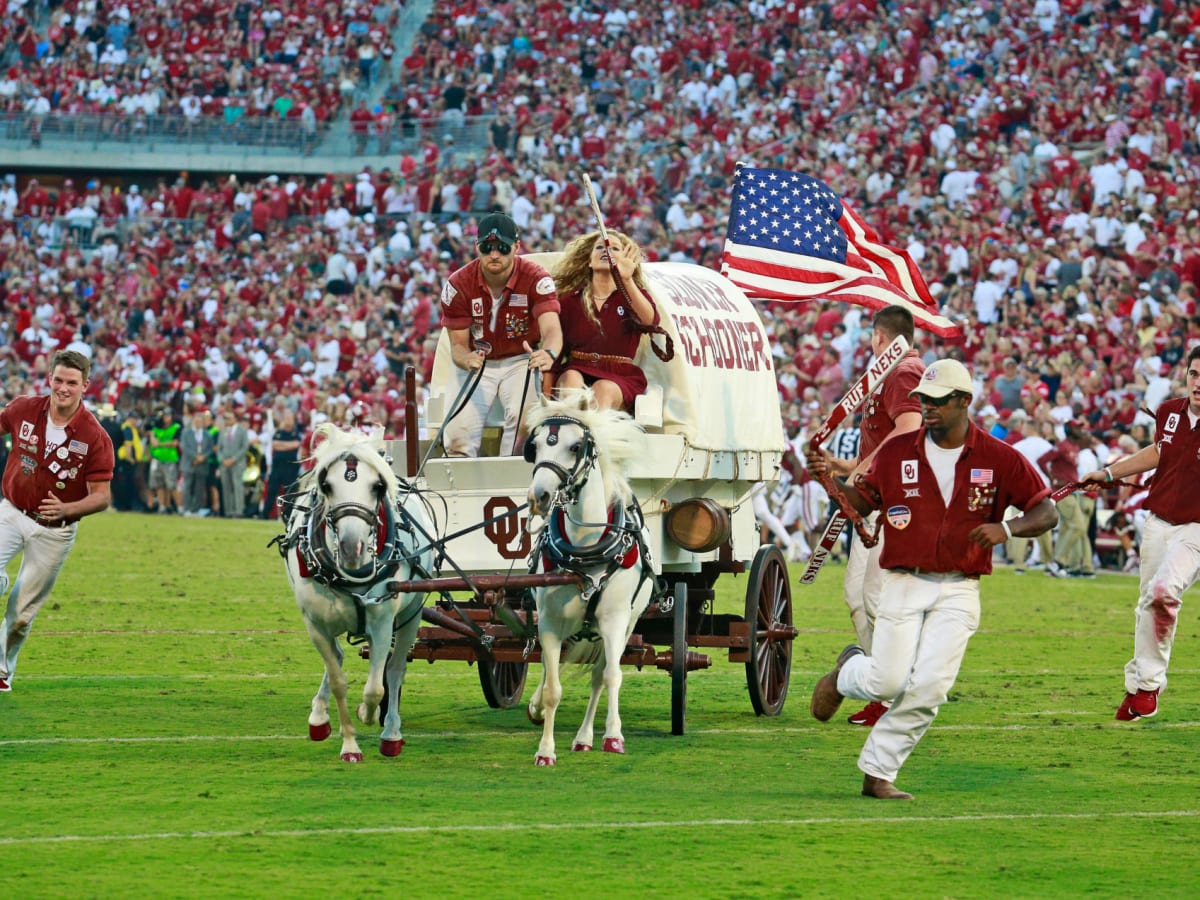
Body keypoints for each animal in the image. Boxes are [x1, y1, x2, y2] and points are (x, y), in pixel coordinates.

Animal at [274, 427, 434, 763]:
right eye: (326, 485)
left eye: (377, 486)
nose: (351, 548)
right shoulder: (316, 625)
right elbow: (338, 681)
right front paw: (349, 744)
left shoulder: (383, 622)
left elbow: (376, 687)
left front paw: (370, 716)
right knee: (337, 657)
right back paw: (319, 716)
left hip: (411, 614)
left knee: (396, 670)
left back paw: (391, 731)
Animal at [525, 388, 657, 768]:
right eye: (534, 445)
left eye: (574, 446)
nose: (539, 497)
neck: (585, 550)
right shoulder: (549, 623)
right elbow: (552, 688)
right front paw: (545, 749)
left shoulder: (614, 620)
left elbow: (611, 676)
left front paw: (614, 736)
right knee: (550, 668)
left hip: (627, 625)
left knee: (600, 675)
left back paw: (586, 737)